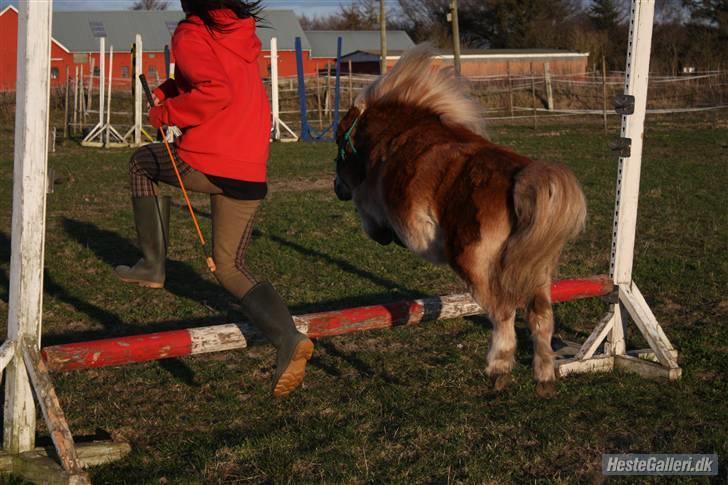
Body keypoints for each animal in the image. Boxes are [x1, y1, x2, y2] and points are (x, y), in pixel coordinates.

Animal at [334, 43, 584, 396]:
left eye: (338, 141)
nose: (337, 188)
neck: (395, 133)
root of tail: (521, 176)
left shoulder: (371, 198)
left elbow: (369, 219)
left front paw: (382, 233)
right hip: (537, 269)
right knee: (541, 317)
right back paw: (545, 376)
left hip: (473, 264)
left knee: (503, 312)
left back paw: (498, 370)